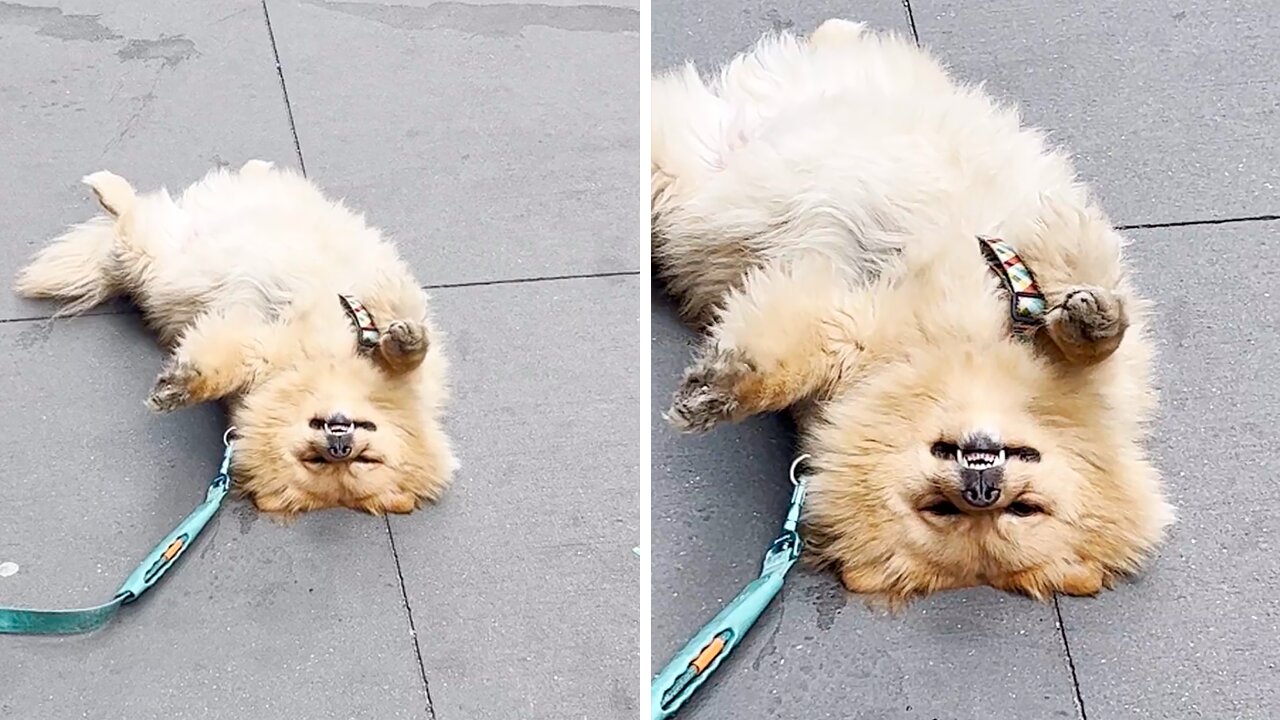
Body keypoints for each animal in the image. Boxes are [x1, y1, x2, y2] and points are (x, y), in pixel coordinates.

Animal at [16, 159, 455, 512]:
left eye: (356, 463)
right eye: (323, 460)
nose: (339, 446)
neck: (328, 361)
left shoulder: (256, 348)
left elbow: (221, 365)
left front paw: (181, 384)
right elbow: (409, 353)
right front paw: (404, 343)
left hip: (158, 257)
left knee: (134, 221)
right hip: (164, 253)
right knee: (131, 210)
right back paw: (108, 184)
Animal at [655, 20, 1172, 604]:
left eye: (1019, 511)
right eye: (943, 510)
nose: (982, 488)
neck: (961, 348)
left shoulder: (847, 322)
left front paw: (721, 383)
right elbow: (1092, 325)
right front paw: (1086, 319)